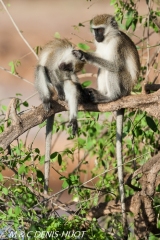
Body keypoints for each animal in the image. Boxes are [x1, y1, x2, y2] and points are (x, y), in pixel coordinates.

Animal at [35, 38, 92, 194]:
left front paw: (82, 90)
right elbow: (50, 69)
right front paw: (60, 89)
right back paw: (47, 99)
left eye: (70, 68)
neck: (65, 53)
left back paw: (73, 117)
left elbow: (72, 79)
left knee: (70, 85)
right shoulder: (56, 57)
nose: (63, 67)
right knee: (41, 69)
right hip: (50, 89)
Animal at [73, 14, 141, 233]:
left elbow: (114, 66)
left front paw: (84, 55)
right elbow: (101, 63)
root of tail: (128, 92)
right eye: (95, 30)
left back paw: (110, 97)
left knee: (112, 70)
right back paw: (97, 95)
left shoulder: (117, 45)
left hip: (124, 85)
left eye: (100, 29)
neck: (109, 39)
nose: (96, 37)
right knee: (101, 71)